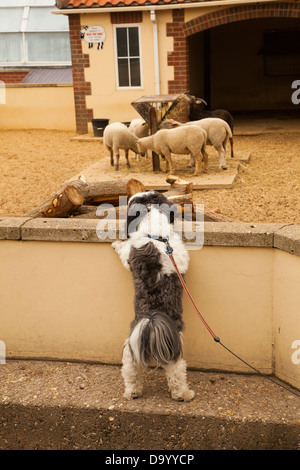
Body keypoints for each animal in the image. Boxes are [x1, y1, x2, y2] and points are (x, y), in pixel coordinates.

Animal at [112, 189, 195, 402]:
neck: (156, 235)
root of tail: (152, 319)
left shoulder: (129, 254)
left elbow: (124, 249)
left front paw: (117, 243)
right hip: (160, 348)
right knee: (171, 373)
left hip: (136, 349)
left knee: (135, 373)